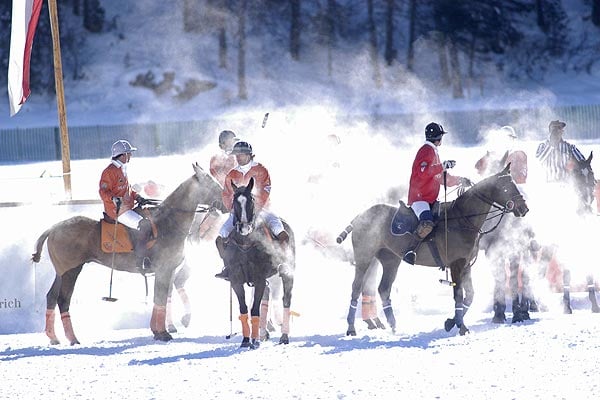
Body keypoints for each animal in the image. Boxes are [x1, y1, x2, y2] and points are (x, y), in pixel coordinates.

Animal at [29, 162, 225, 344]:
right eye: (211, 182)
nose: (225, 202)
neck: (169, 223)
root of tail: (53, 229)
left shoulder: (167, 270)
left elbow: (159, 298)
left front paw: (157, 331)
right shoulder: (164, 269)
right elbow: (160, 298)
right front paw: (163, 333)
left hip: (61, 271)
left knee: (51, 297)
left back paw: (53, 337)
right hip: (72, 270)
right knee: (63, 300)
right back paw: (73, 338)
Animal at [223, 177, 296, 346]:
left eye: (251, 200)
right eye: (235, 201)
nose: (244, 228)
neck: (245, 243)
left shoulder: (260, 278)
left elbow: (254, 309)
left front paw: (254, 341)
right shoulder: (236, 279)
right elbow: (244, 308)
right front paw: (246, 340)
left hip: (286, 273)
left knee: (286, 299)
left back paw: (284, 336)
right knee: (266, 299)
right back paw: (264, 333)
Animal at [338, 164, 528, 336]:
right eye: (507, 187)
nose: (524, 209)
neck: (463, 219)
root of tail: (358, 217)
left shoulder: (466, 265)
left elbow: (470, 295)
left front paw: (451, 322)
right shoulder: (457, 265)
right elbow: (458, 295)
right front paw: (461, 327)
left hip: (390, 259)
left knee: (383, 289)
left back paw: (393, 325)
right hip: (364, 257)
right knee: (356, 288)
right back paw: (351, 327)